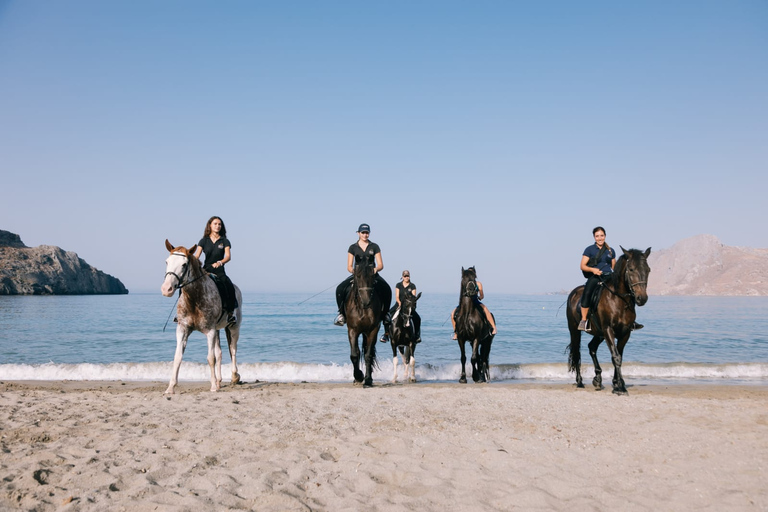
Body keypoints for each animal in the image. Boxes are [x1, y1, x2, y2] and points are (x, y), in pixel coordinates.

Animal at [161, 241, 243, 396]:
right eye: (167, 261)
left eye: (184, 264)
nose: (166, 289)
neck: (194, 299)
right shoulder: (182, 329)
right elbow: (177, 357)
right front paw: (171, 387)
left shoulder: (210, 331)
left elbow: (211, 358)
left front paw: (213, 387)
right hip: (218, 330)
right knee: (220, 353)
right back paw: (219, 381)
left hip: (233, 327)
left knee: (233, 349)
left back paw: (234, 376)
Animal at [344, 252, 390, 388]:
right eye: (358, 276)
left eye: (372, 276)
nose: (366, 302)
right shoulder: (352, 330)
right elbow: (354, 354)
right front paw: (358, 377)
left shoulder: (372, 330)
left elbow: (368, 355)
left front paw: (368, 379)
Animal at [568, 246, 652, 394]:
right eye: (631, 269)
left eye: (648, 270)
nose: (642, 298)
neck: (619, 300)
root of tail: (574, 293)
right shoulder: (608, 330)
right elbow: (616, 357)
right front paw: (620, 387)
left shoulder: (625, 333)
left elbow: (619, 356)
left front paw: (617, 384)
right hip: (575, 330)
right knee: (577, 352)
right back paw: (579, 382)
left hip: (599, 333)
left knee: (592, 347)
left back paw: (597, 379)